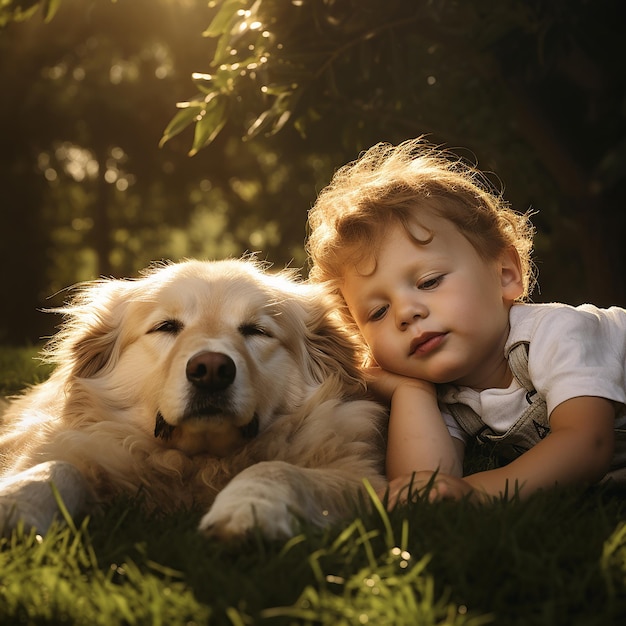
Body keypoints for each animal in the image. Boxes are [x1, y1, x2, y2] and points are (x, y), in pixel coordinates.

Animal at [0, 258, 386, 536]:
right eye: (167, 326)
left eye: (256, 331)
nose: (211, 369)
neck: (199, 464)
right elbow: (55, 467)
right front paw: (17, 503)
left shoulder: (360, 481)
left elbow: (277, 468)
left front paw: (248, 508)